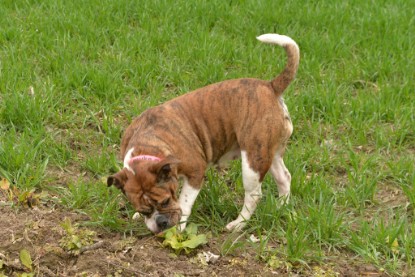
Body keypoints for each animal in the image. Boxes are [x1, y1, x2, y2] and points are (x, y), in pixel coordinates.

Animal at [107, 34, 300, 233]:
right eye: (144, 210)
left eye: (166, 201)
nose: (160, 222)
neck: (147, 146)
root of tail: (270, 86)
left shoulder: (195, 173)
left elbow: (184, 204)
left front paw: (179, 228)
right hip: (269, 151)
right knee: (284, 178)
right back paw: (281, 208)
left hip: (252, 159)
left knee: (254, 194)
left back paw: (238, 224)